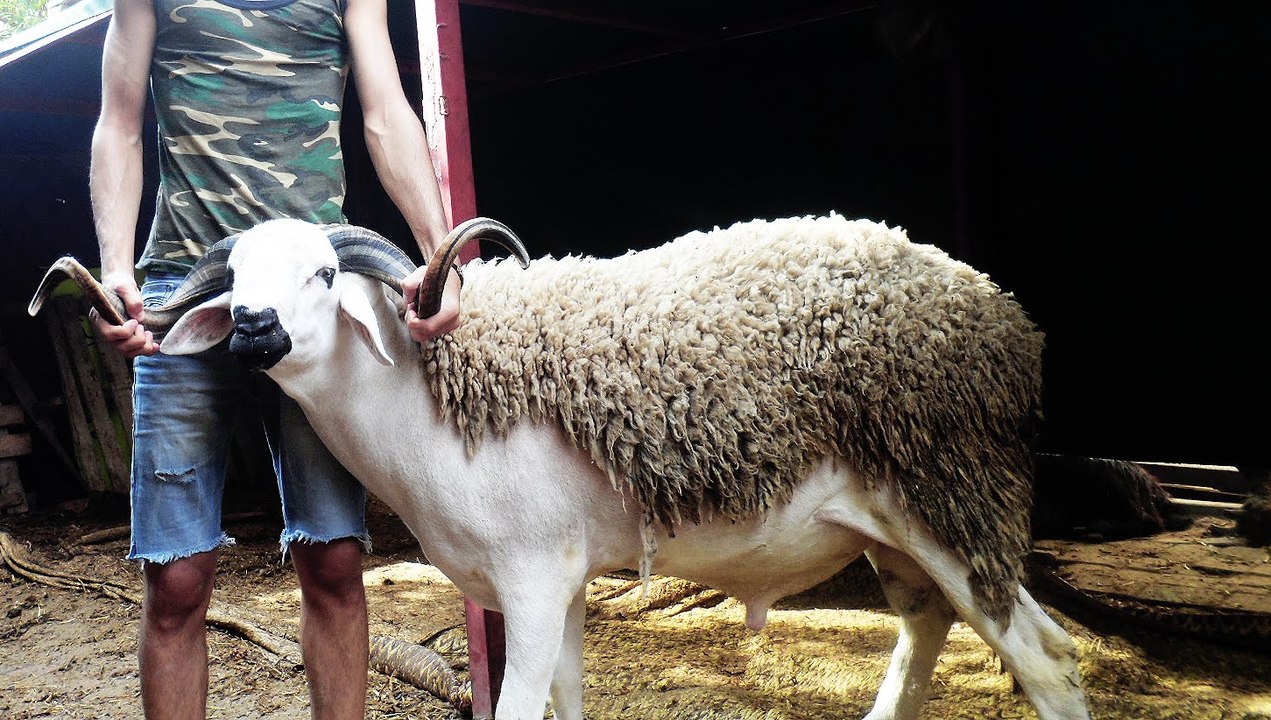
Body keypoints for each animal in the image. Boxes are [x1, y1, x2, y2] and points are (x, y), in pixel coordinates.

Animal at [29, 214, 1092, 720]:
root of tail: (1006, 320)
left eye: (325, 276)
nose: (252, 328)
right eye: (236, 282)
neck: (428, 398)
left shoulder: (534, 581)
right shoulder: (566, 583)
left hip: (950, 492)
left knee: (1046, 661)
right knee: (924, 634)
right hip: (900, 525)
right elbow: (568, 705)